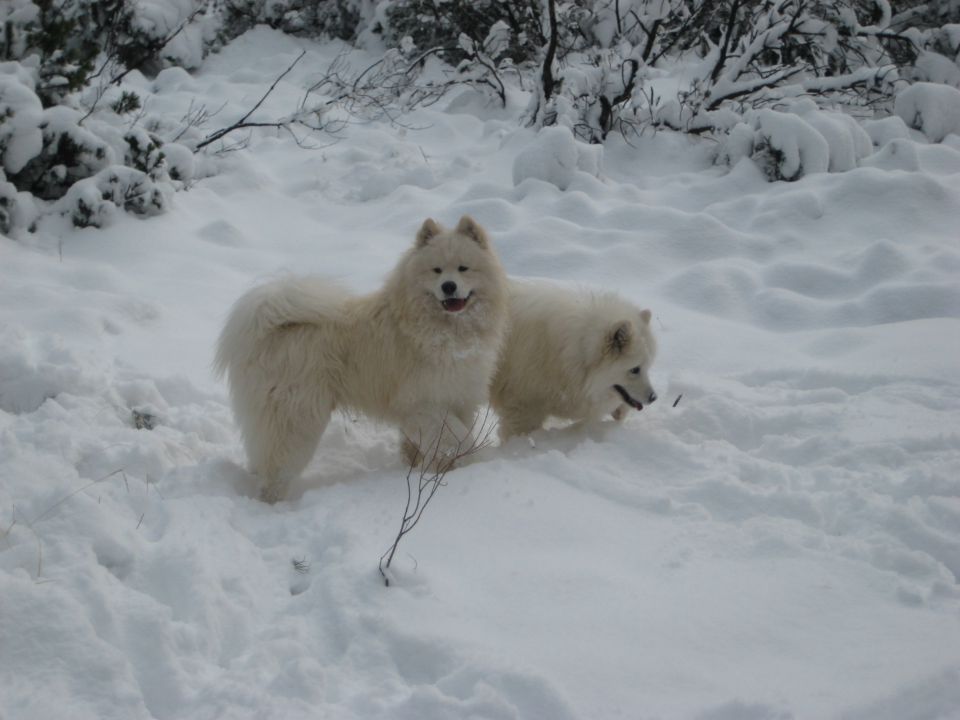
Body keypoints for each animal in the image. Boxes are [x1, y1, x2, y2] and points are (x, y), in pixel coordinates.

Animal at [213, 217, 506, 504]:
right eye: (436, 270)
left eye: (463, 268)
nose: (448, 286)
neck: (446, 332)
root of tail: (265, 329)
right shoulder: (424, 404)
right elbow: (459, 437)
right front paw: (467, 460)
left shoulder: (458, 399)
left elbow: (431, 442)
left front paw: (428, 468)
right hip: (296, 418)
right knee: (277, 468)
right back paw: (273, 503)